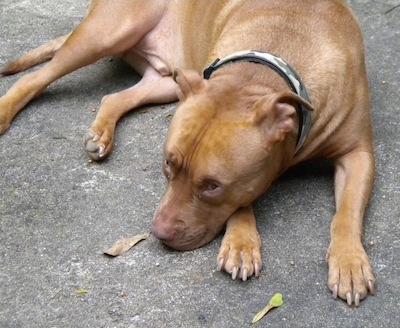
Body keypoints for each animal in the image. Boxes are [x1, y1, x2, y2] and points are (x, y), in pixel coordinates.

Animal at [0, 0, 376, 308]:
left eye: (212, 186)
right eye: (167, 165)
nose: (159, 234)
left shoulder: (358, 155)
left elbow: (346, 213)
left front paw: (349, 262)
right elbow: (243, 202)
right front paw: (241, 241)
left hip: (166, 81)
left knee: (113, 97)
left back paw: (101, 134)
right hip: (107, 34)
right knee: (34, 78)